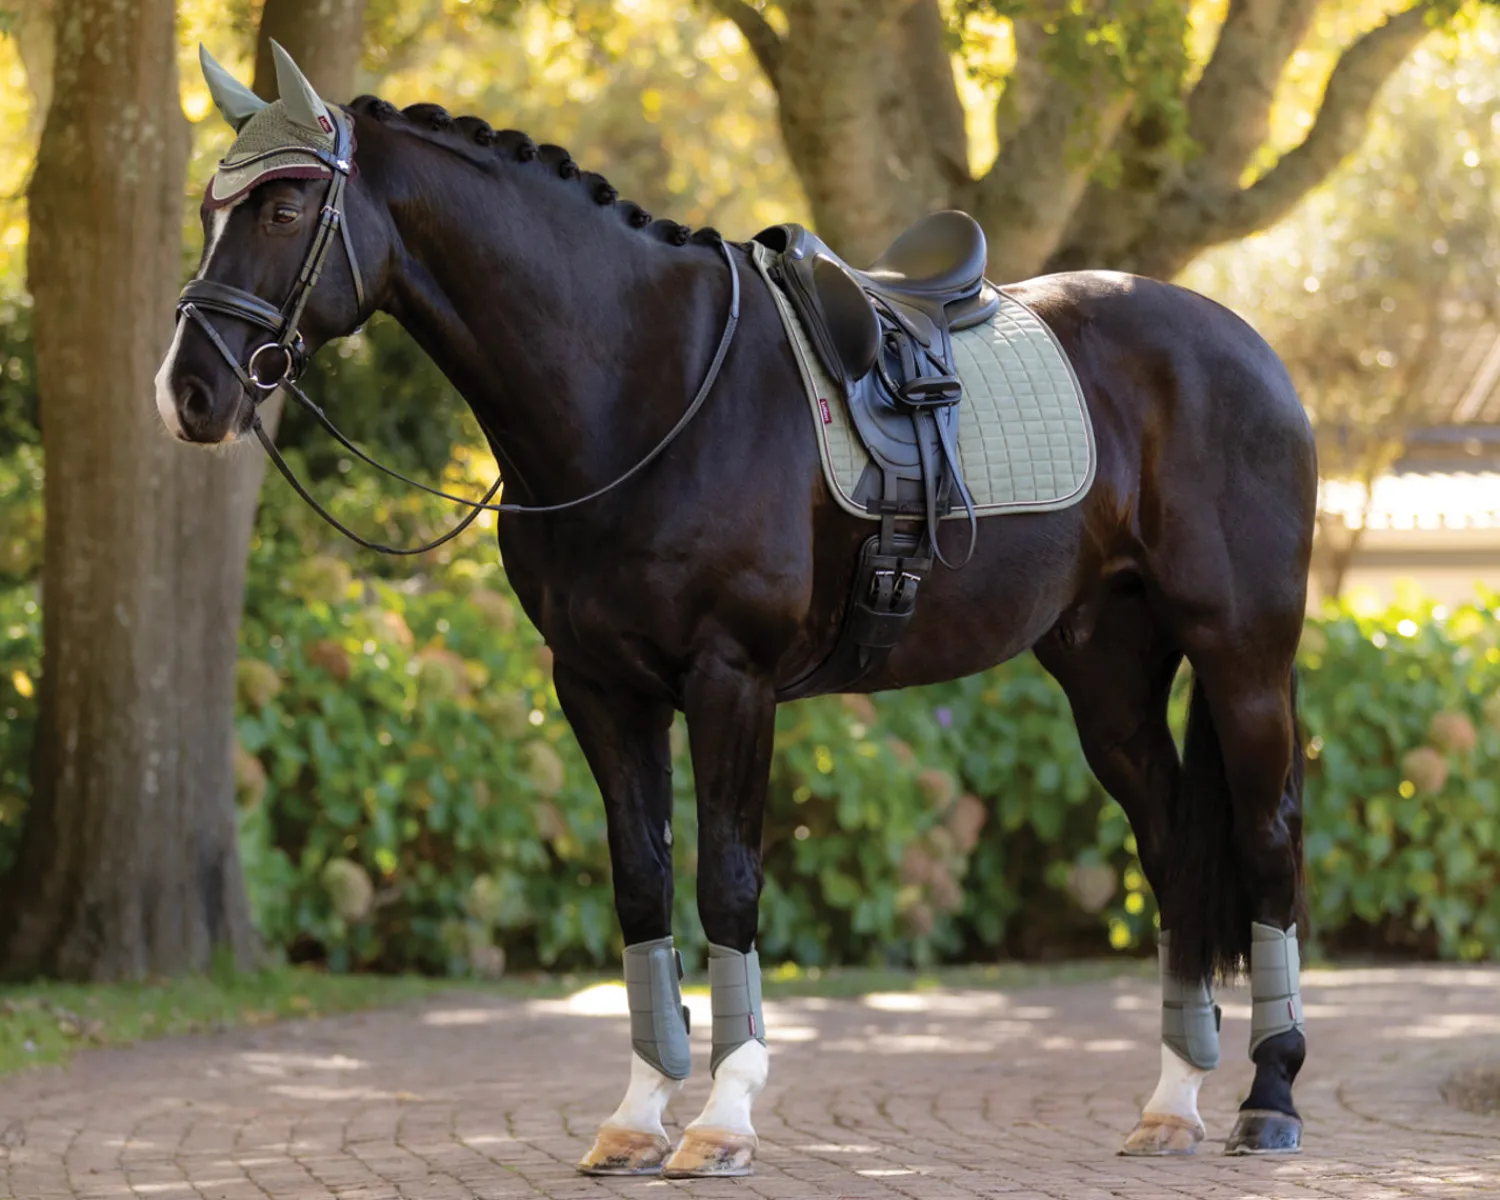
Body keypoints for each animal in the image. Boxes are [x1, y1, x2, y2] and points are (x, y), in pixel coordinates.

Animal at [157, 44, 1317, 1176]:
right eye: (210, 208)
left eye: (283, 209)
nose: (189, 393)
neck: (643, 385)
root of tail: (1247, 348)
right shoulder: (598, 688)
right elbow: (640, 886)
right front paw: (636, 1117)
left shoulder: (731, 681)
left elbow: (727, 884)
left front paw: (722, 1119)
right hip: (1106, 672)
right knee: (1173, 846)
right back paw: (1171, 1103)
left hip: (1242, 657)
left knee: (1267, 840)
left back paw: (1269, 1096)